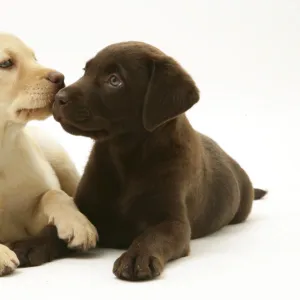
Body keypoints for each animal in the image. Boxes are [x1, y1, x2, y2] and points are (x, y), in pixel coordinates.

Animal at [0, 33, 97, 276]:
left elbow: (53, 194)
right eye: (5, 63)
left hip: (59, 158)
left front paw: (78, 224)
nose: (60, 78)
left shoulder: (28, 222)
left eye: (34, 58)